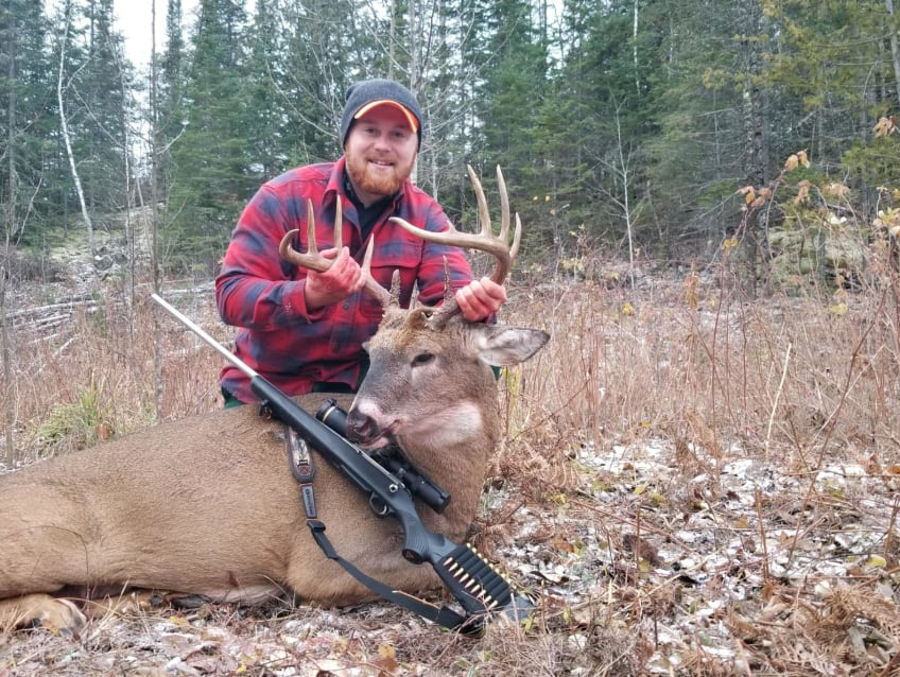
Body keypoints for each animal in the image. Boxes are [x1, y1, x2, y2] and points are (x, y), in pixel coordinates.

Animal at [0, 166, 549, 634]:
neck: (438, 488)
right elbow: (433, 573)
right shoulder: (319, 564)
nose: (359, 422)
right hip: (47, 542)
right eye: (371, 352)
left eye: (425, 356)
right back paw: (61, 613)